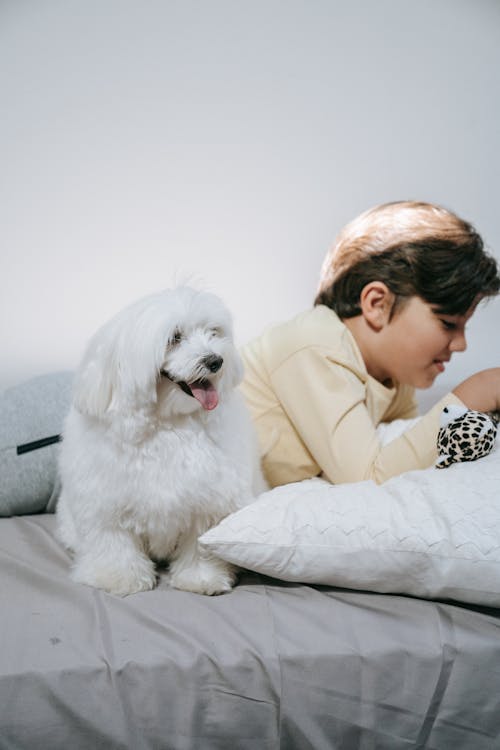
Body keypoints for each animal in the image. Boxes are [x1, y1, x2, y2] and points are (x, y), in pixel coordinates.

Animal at [56, 288, 268, 600]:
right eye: (175, 337)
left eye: (213, 332)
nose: (216, 361)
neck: (169, 425)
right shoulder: (105, 505)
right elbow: (113, 543)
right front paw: (118, 578)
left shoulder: (209, 502)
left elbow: (201, 544)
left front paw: (201, 579)